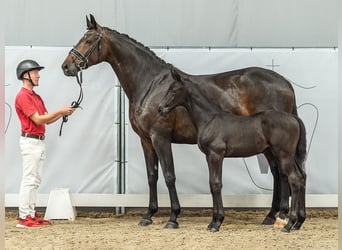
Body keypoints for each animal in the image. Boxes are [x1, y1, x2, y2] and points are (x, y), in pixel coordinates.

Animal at [158, 69, 308, 232]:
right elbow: (212, 184)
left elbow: (216, 184)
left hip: (284, 155)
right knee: (301, 177)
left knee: (294, 179)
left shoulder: (216, 155)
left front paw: (217, 223)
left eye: (173, 90)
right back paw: (298, 222)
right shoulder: (209, 156)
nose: (160, 109)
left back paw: (288, 224)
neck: (210, 119)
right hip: (292, 156)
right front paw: (212, 222)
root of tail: (294, 119)